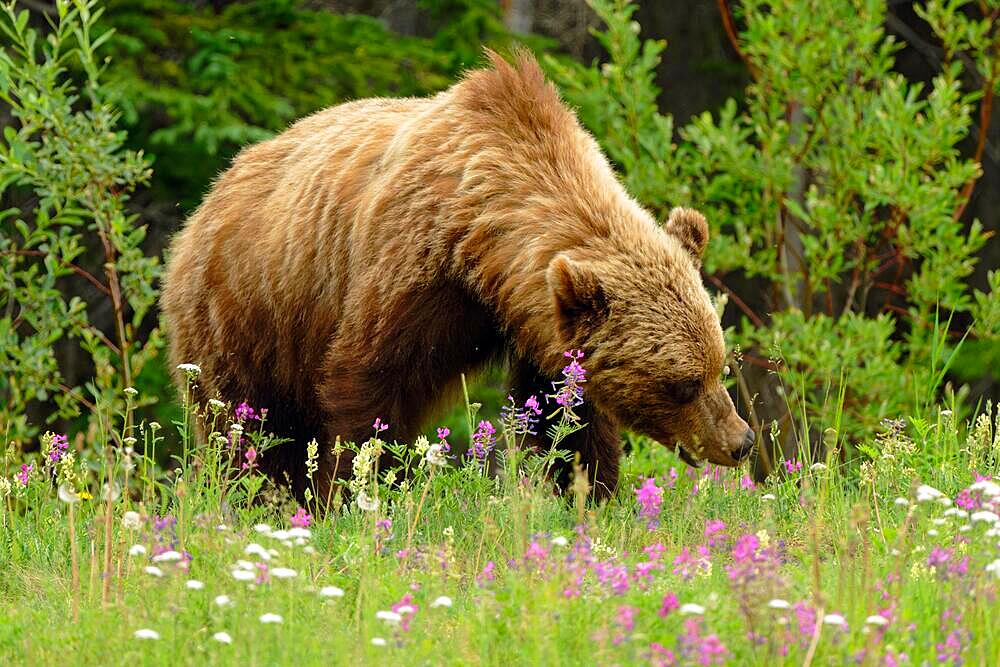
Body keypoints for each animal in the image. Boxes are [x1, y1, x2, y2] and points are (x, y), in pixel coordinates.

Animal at [164, 51, 752, 500]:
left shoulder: (539, 320)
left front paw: (592, 494)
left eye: (719, 366)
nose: (739, 440)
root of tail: (205, 203)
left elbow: (564, 414)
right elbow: (367, 390)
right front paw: (357, 493)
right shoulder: (412, 274)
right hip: (249, 318)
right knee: (252, 429)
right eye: (682, 383)